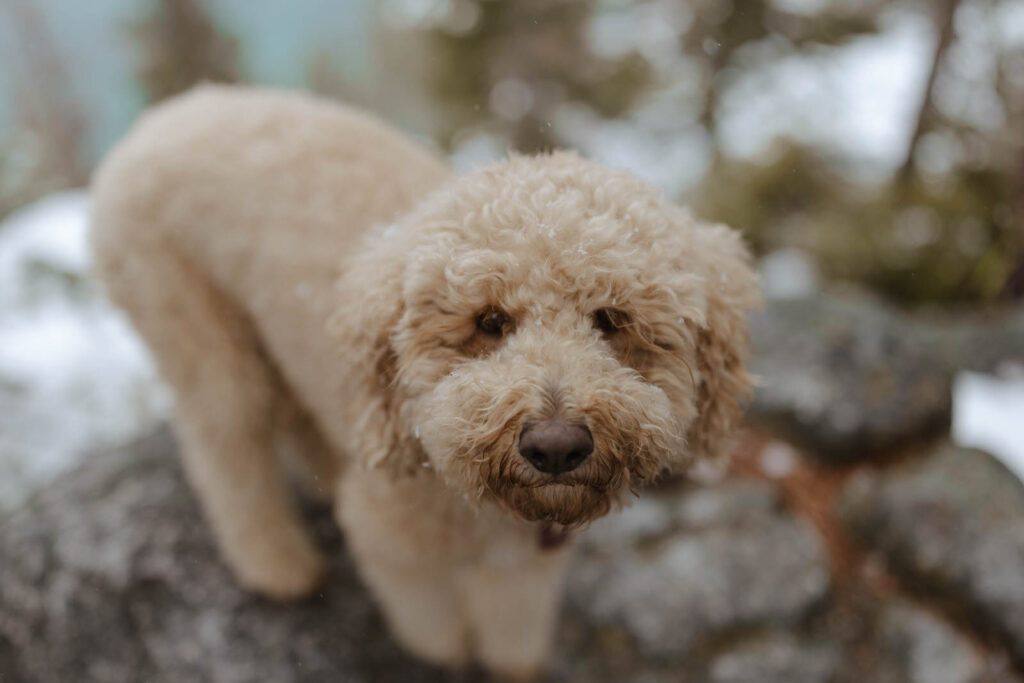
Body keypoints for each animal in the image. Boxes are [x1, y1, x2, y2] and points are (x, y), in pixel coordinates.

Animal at [90, 85, 761, 679]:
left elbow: (513, 626)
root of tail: (163, 115)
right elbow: (432, 625)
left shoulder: (525, 565)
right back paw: (277, 566)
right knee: (225, 446)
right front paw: (446, 655)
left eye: (613, 319)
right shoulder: (394, 543)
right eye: (489, 321)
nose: (555, 446)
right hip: (193, 326)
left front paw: (513, 662)